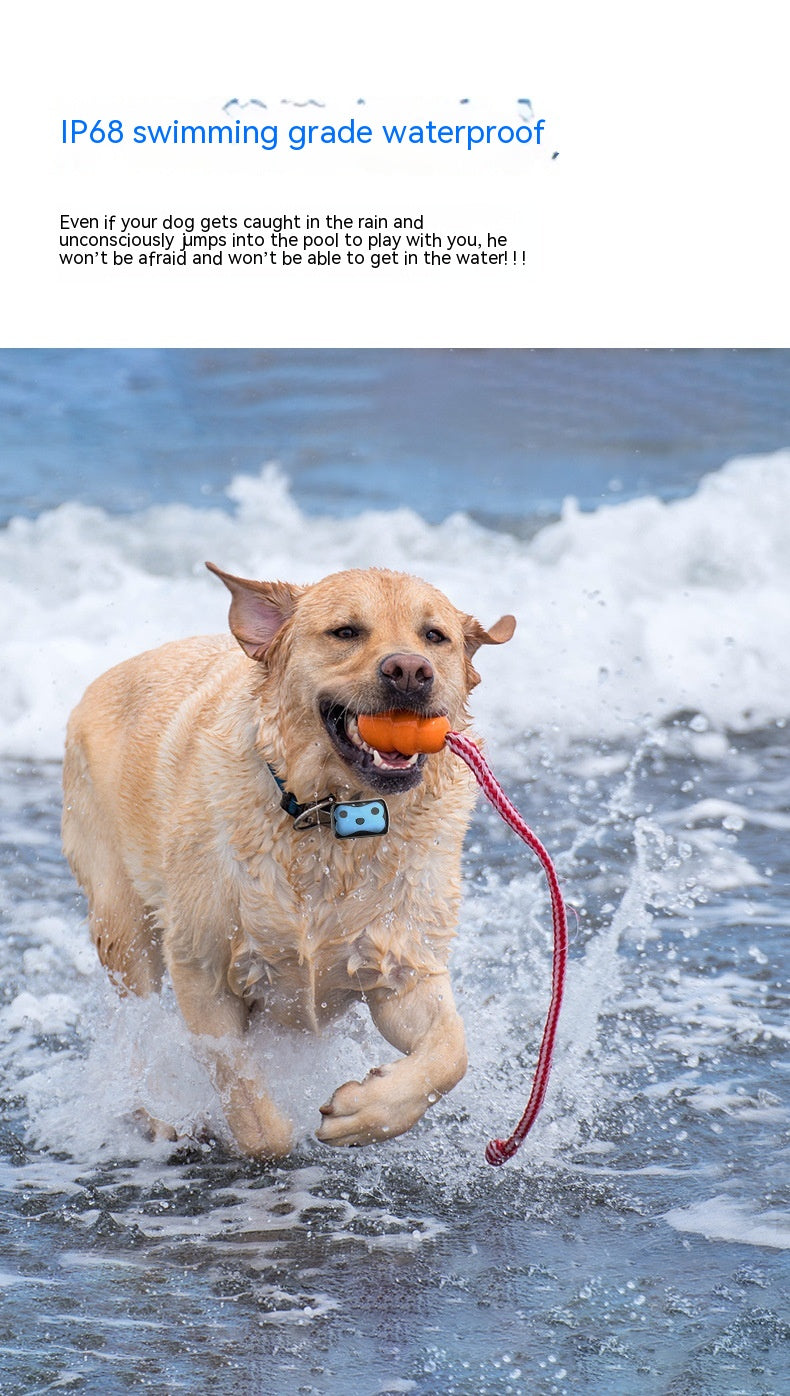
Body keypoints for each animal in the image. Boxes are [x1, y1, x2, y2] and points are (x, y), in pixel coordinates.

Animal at [63, 566, 519, 1155]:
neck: (330, 818)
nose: (410, 671)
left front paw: (367, 1111)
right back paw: (155, 1115)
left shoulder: (402, 966)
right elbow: (255, 1114)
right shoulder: (201, 969)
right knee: (137, 1025)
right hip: (123, 925)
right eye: (346, 632)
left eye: (434, 637)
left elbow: (450, 1054)